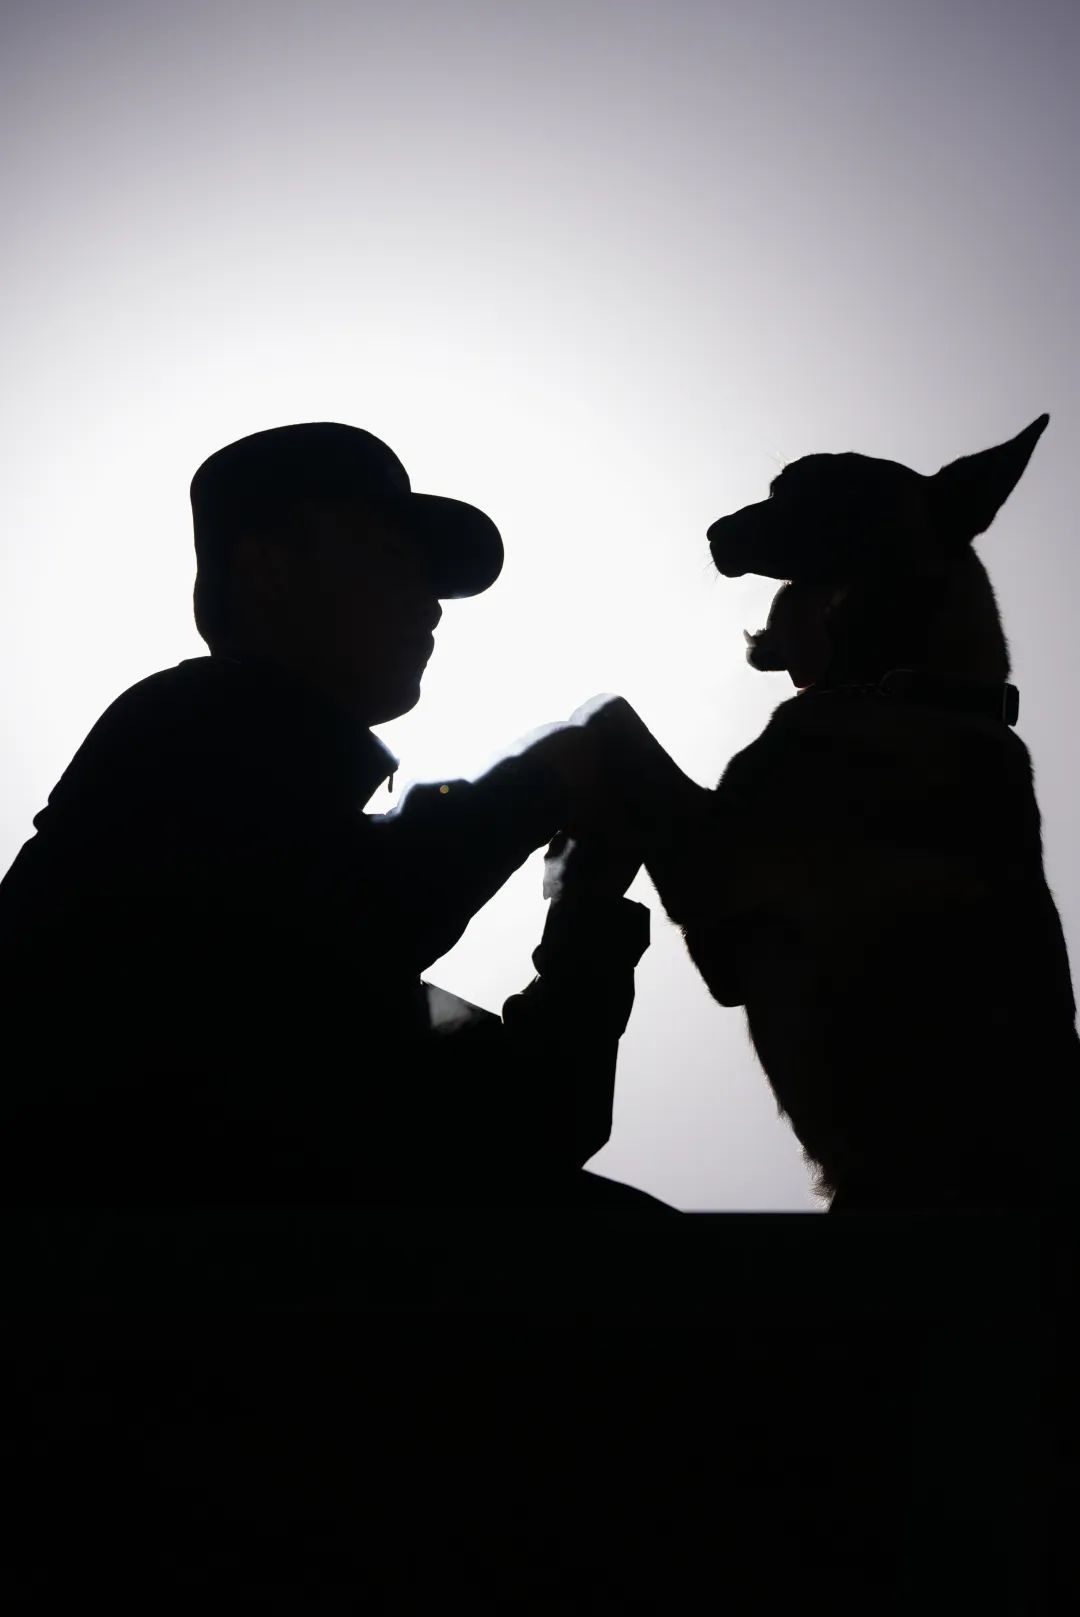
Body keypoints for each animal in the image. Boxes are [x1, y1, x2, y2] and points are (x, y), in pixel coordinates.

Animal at [582, 416, 1080, 1211]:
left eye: (810, 491)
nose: (717, 530)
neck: (905, 683)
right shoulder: (724, 951)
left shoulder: (710, 863)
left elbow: (613, 718)